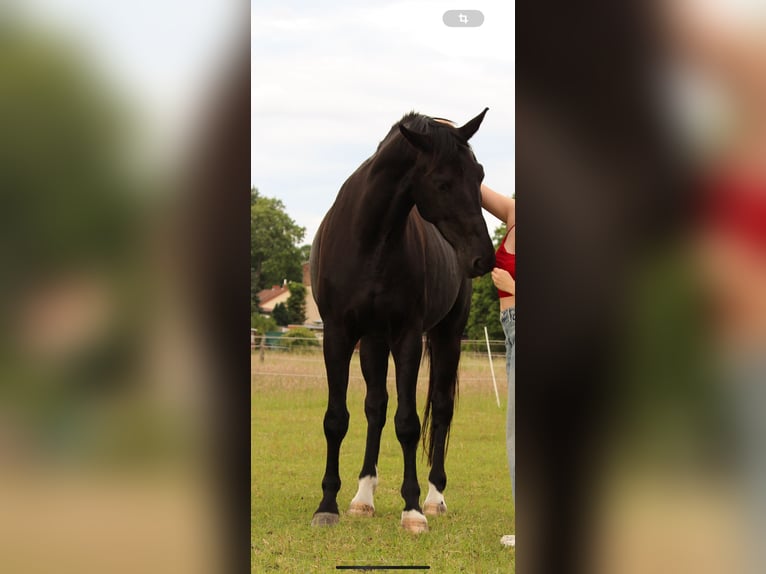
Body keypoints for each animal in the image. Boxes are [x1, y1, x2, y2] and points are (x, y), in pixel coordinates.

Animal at [312, 110, 498, 532]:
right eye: (443, 182)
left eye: (479, 175)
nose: (483, 258)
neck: (369, 240)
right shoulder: (338, 335)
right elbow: (338, 418)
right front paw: (328, 504)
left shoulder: (408, 337)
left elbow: (409, 423)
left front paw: (411, 509)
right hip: (373, 341)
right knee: (375, 408)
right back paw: (363, 497)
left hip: (447, 336)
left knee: (441, 410)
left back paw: (434, 498)